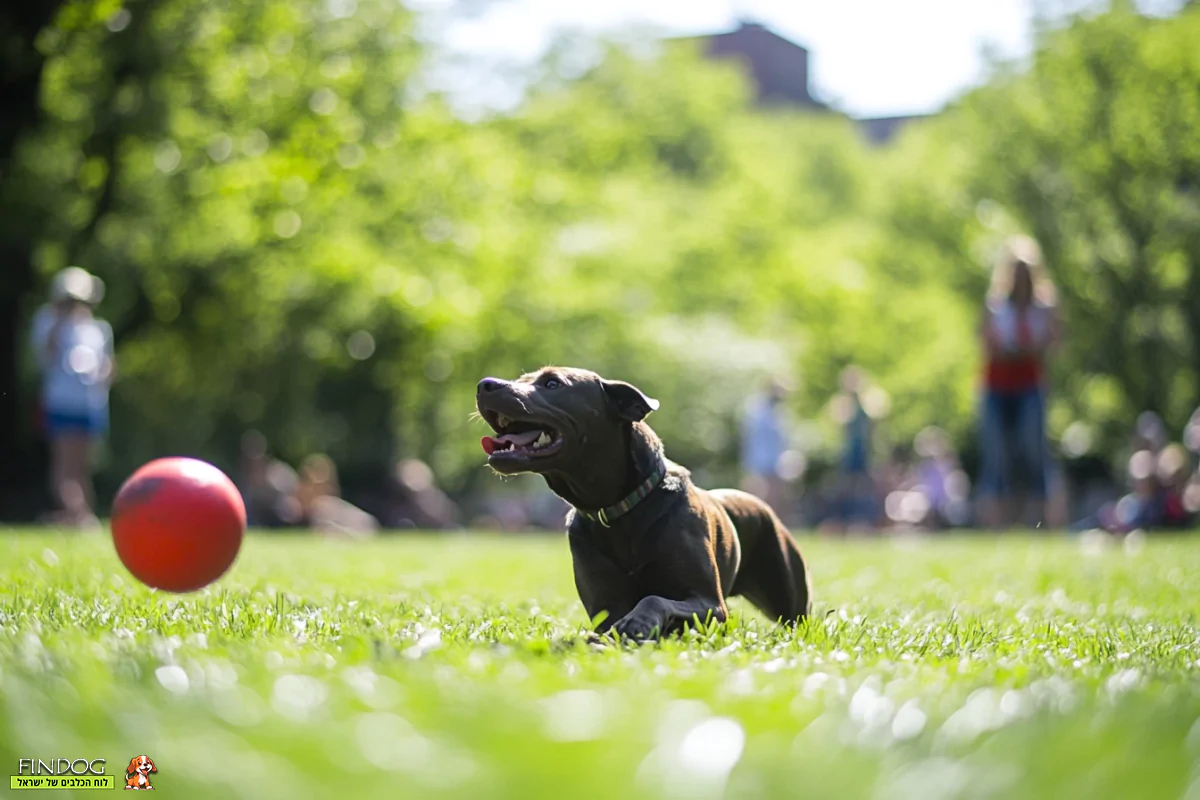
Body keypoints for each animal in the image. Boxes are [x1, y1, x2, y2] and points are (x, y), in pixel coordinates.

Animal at [472, 367, 811, 642]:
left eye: (553, 383)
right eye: (521, 378)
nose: (484, 384)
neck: (617, 511)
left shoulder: (710, 603)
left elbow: (654, 599)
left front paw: (637, 622)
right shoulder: (606, 608)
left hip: (790, 599)